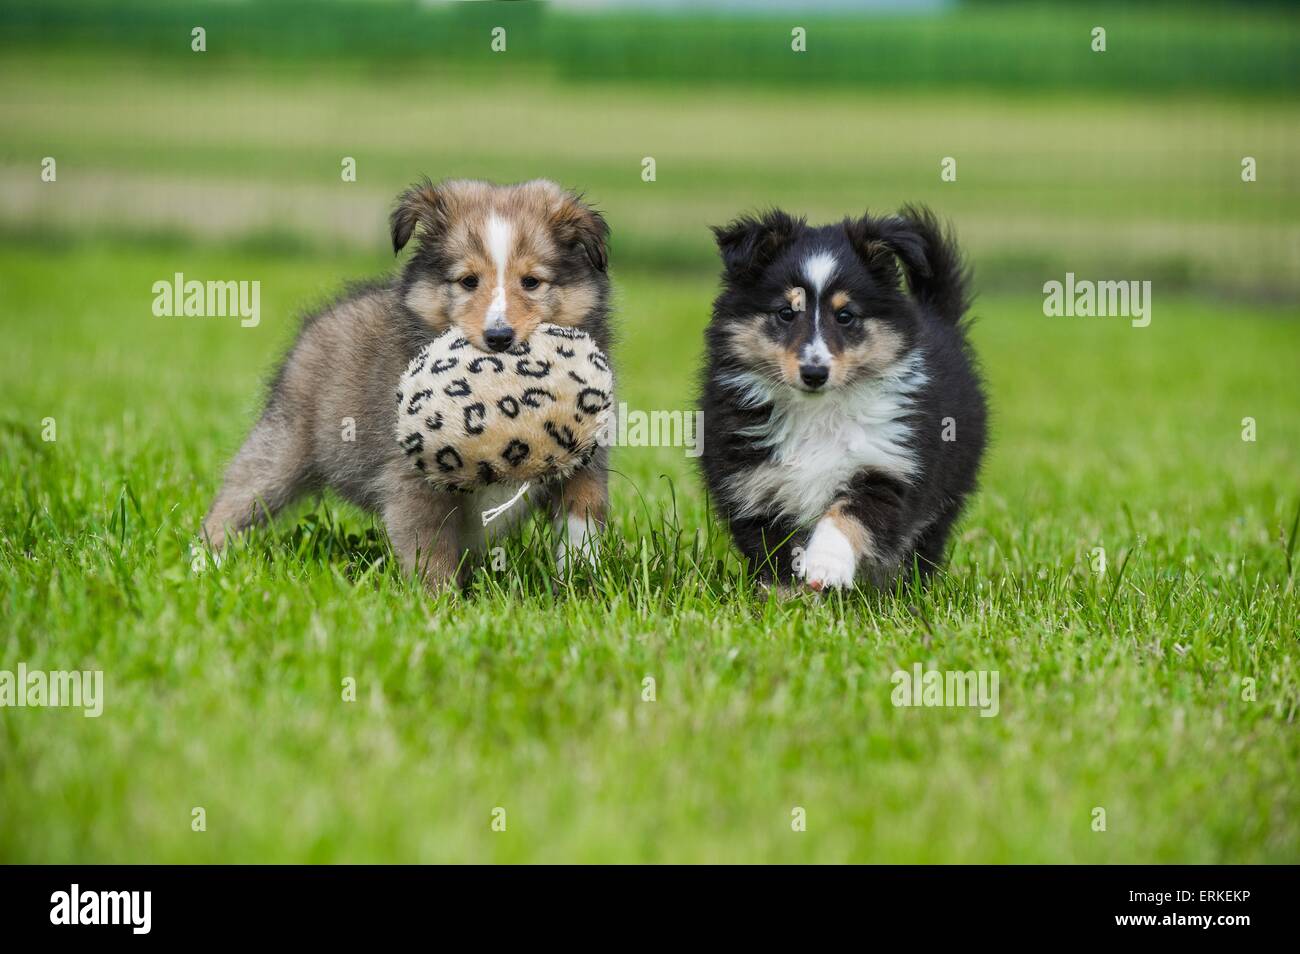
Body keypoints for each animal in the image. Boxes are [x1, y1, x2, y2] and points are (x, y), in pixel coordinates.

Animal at [201, 175, 608, 587]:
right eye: (468, 281)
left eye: (531, 282)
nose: (499, 337)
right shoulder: (410, 478)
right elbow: (430, 548)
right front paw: (441, 600)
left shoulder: (586, 455)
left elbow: (583, 518)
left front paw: (582, 582)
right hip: (284, 447)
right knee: (237, 498)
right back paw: (206, 564)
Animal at [702, 207, 982, 590]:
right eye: (786, 313)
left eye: (845, 315)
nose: (814, 373)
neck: (816, 412)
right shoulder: (751, 484)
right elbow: (775, 554)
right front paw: (786, 597)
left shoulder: (887, 465)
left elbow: (849, 514)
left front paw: (826, 566)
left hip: (946, 490)